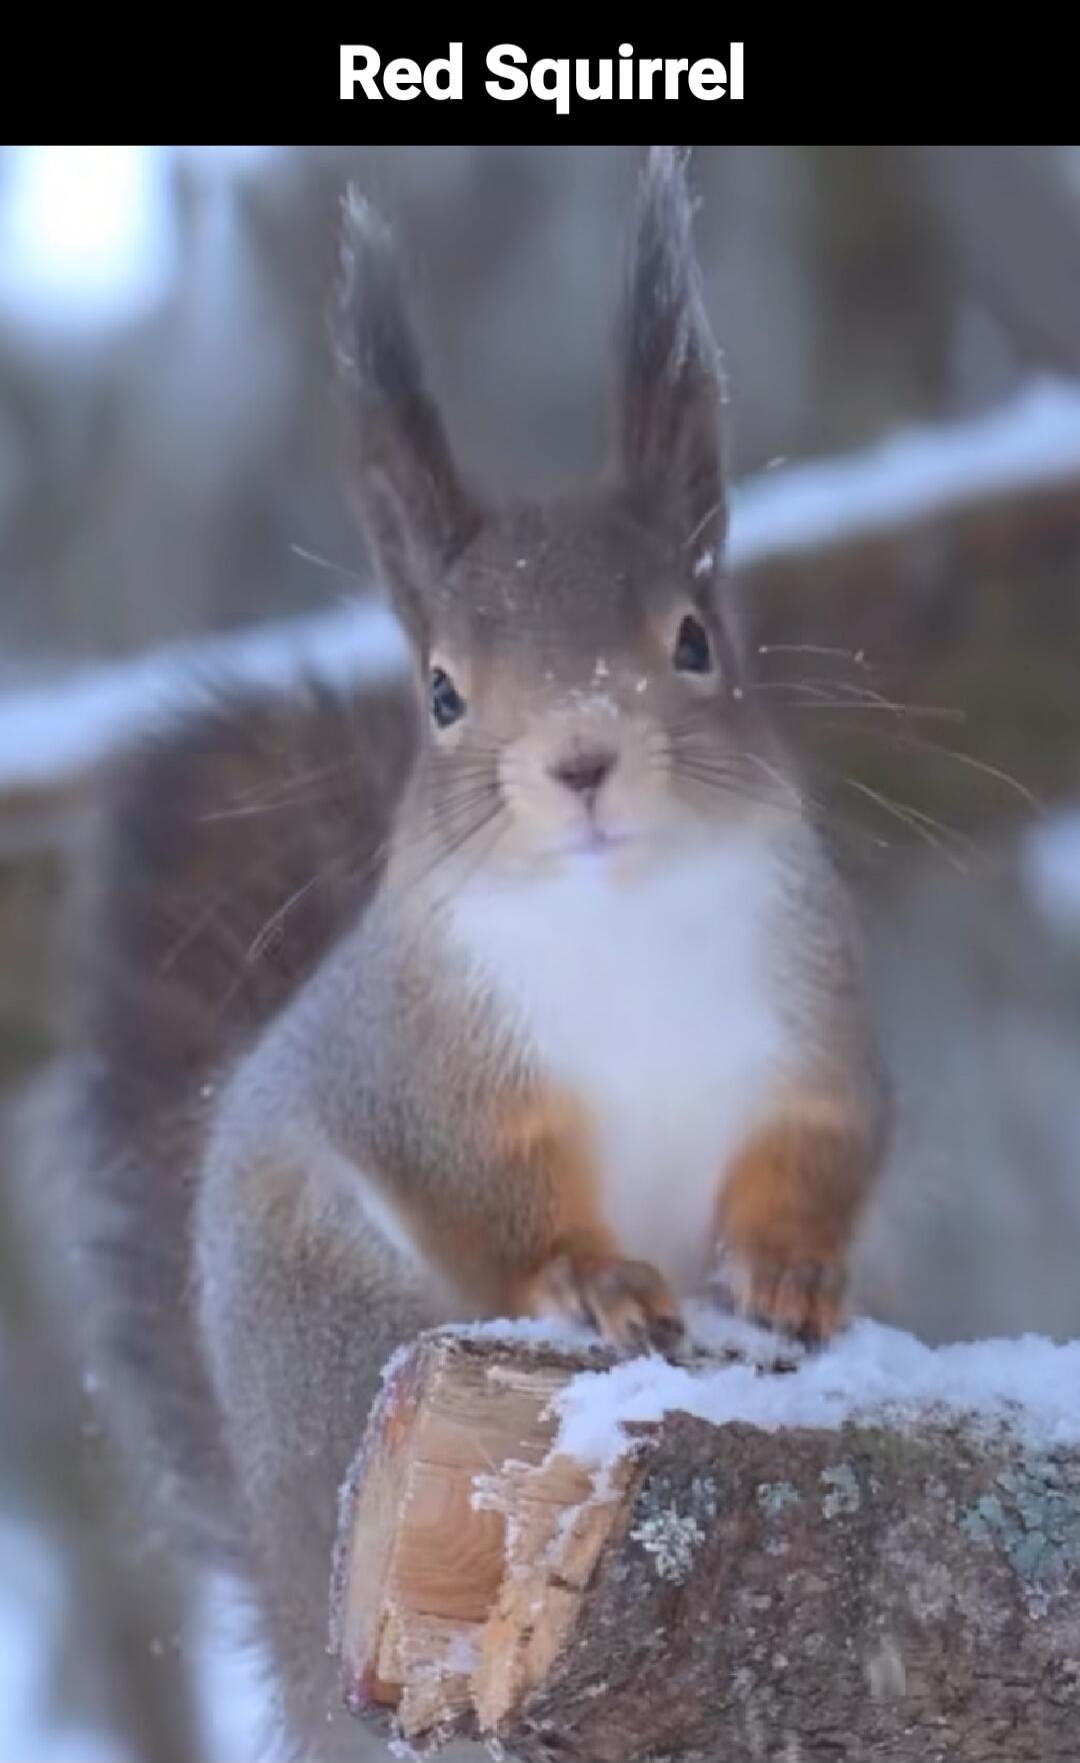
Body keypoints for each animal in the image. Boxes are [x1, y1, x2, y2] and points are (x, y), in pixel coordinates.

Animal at [47, 148, 888, 1757]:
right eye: (440, 693)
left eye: (696, 640)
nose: (582, 760)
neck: (622, 918)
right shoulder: (425, 1071)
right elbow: (490, 1196)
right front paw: (598, 1282)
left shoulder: (816, 1027)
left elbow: (825, 1147)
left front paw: (795, 1273)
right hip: (350, 1340)